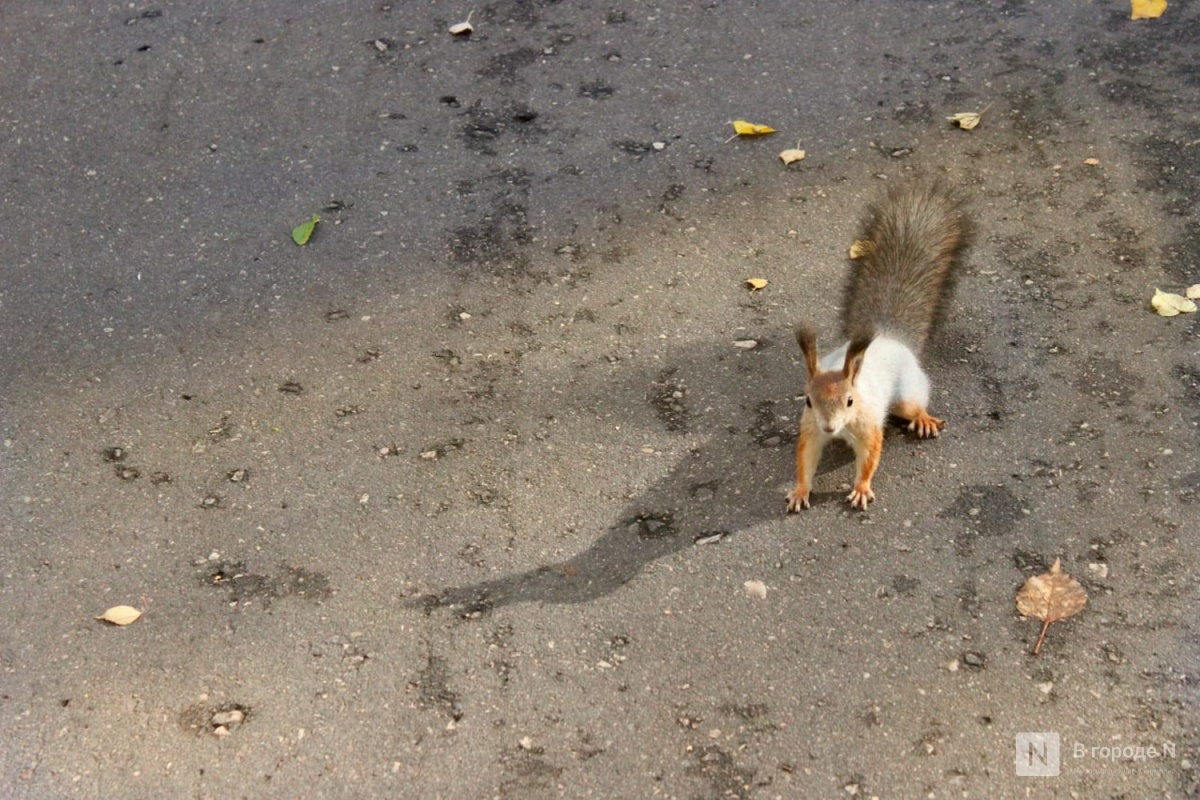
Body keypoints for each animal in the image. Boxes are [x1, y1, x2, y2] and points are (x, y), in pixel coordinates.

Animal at [787, 177, 974, 510]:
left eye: (850, 400)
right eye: (808, 400)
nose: (829, 427)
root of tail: (890, 338)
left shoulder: (869, 425)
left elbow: (870, 457)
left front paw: (861, 488)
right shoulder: (810, 427)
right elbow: (805, 458)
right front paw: (799, 491)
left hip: (906, 393)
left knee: (913, 405)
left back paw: (923, 419)